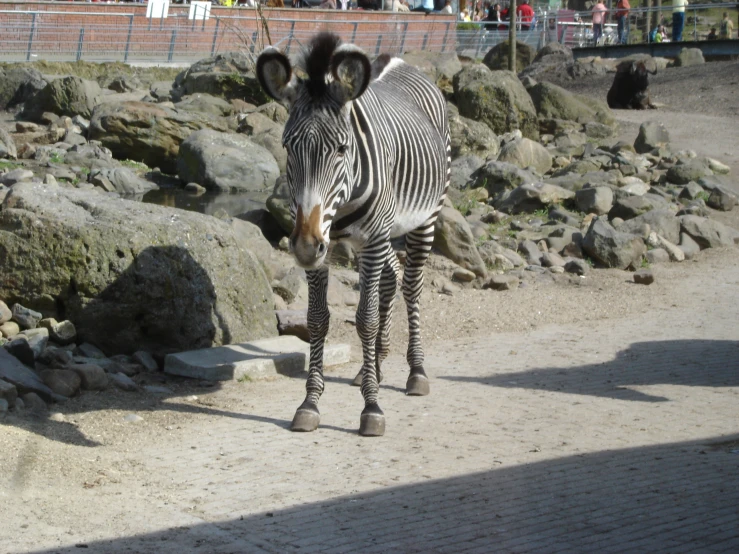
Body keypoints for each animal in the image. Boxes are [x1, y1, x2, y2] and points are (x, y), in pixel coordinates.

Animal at [258, 32, 448, 434]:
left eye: (342, 148)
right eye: (287, 147)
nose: (303, 246)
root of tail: (400, 61)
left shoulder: (371, 240)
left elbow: (365, 320)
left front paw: (372, 408)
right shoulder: (324, 247)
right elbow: (317, 321)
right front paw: (310, 403)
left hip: (424, 219)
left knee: (411, 285)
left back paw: (416, 371)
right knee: (392, 277)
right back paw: (370, 368)